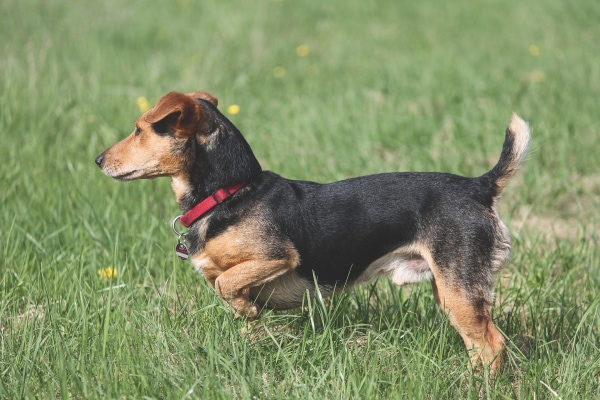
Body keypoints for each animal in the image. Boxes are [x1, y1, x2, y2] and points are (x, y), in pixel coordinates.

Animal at [96, 91, 532, 372]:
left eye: (139, 130)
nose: (98, 159)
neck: (230, 193)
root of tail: (478, 186)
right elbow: (226, 288)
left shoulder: (277, 256)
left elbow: (226, 283)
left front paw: (246, 308)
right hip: (450, 289)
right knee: (479, 344)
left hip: (460, 288)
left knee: (492, 345)